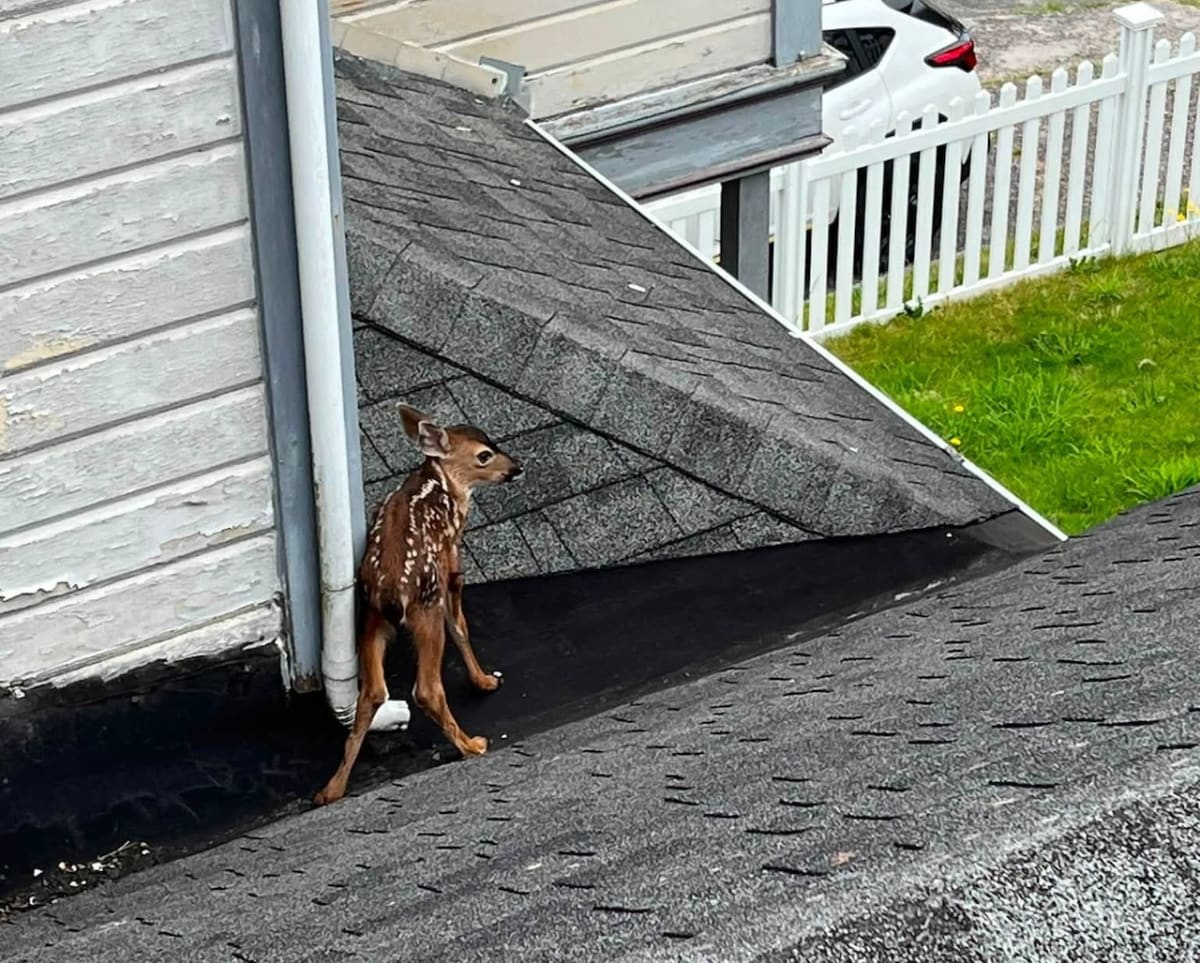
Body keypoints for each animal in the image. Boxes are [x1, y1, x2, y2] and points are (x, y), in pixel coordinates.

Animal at [314, 404, 523, 806]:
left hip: (372, 618)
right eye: (484, 455)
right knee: (426, 688)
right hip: (424, 608)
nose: (517, 467)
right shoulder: (450, 563)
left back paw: (330, 790)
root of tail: (390, 593)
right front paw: (484, 681)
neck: (441, 486)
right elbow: (460, 625)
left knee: (372, 693)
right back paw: (472, 745)